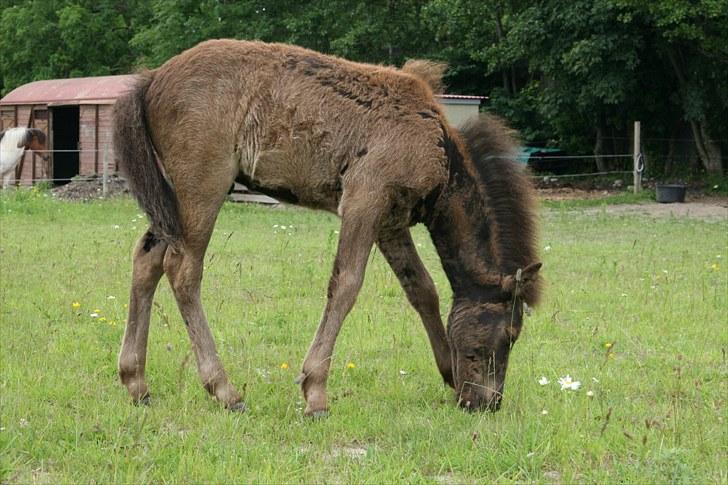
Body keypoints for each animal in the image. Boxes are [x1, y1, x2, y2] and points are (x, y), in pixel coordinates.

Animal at [111, 39, 536, 416]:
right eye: (510, 333)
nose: (487, 403)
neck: (437, 145)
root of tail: (152, 79)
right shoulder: (364, 200)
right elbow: (346, 285)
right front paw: (315, 392)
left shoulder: (391, 223)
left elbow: (422, 290)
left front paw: (448, 373)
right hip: (202, 190)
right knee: (183, 270)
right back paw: (225, 390)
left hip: (170, 202)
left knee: (147, 260)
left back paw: (137, 383)